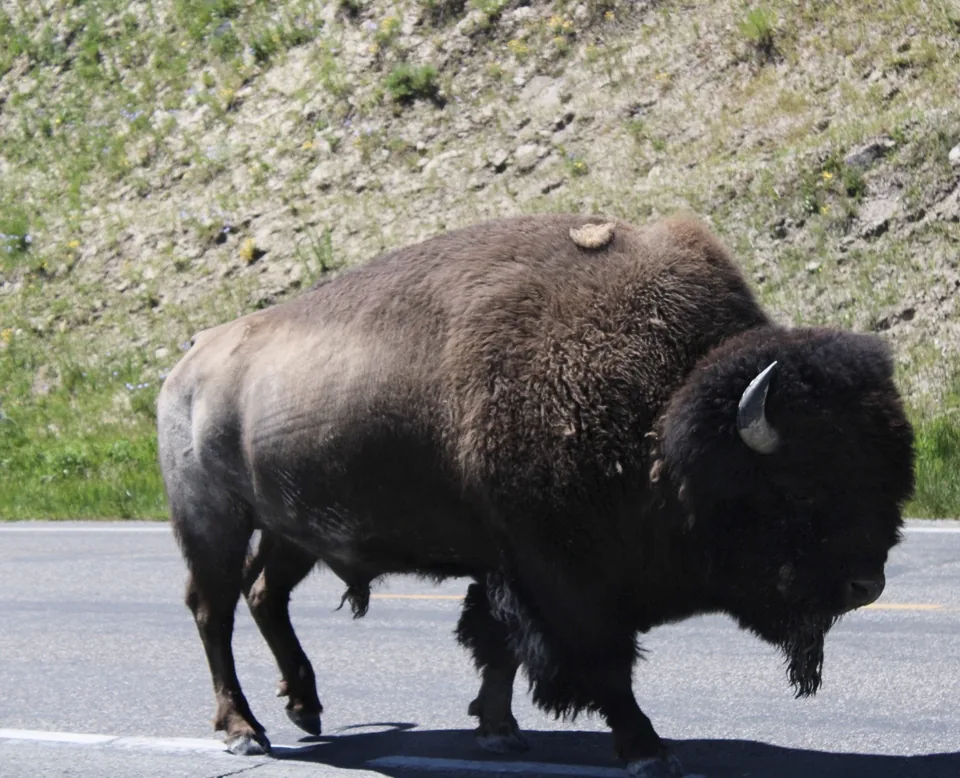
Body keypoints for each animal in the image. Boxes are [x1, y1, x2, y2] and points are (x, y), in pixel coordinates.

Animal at [157, 213, 915, 778]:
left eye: (889, 474)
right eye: (801, 485)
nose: (866, 584)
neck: (661, 423)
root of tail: (189, 362)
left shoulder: (506, 567)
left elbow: (497, 644)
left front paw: (499, 730)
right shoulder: (561, 576)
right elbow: (601, 663)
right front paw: (647, 749)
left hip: (291, 529)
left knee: (264, 593)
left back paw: (305, 709)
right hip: (213, 520)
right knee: (212, 609)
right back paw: (243, 729)